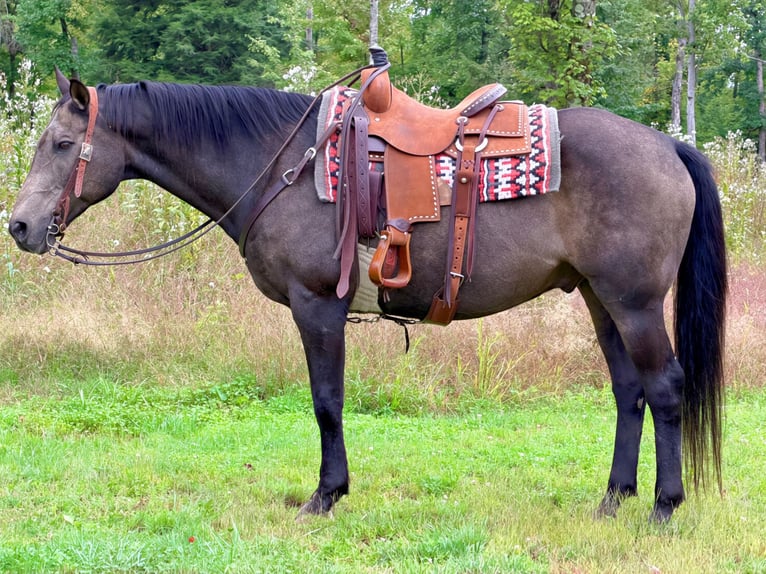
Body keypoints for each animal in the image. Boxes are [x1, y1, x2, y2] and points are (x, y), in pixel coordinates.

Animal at [8, 69, 726, 522]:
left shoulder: (317, 305)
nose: (18, 226)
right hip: (600, 299)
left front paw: (326, 495)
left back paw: (663, 506)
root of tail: (668, 144)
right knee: (629, 392)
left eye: (64, 144)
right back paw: (613, 499)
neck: (280, 164)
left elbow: (327, 403)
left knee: (665, 389)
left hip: (634, 302)